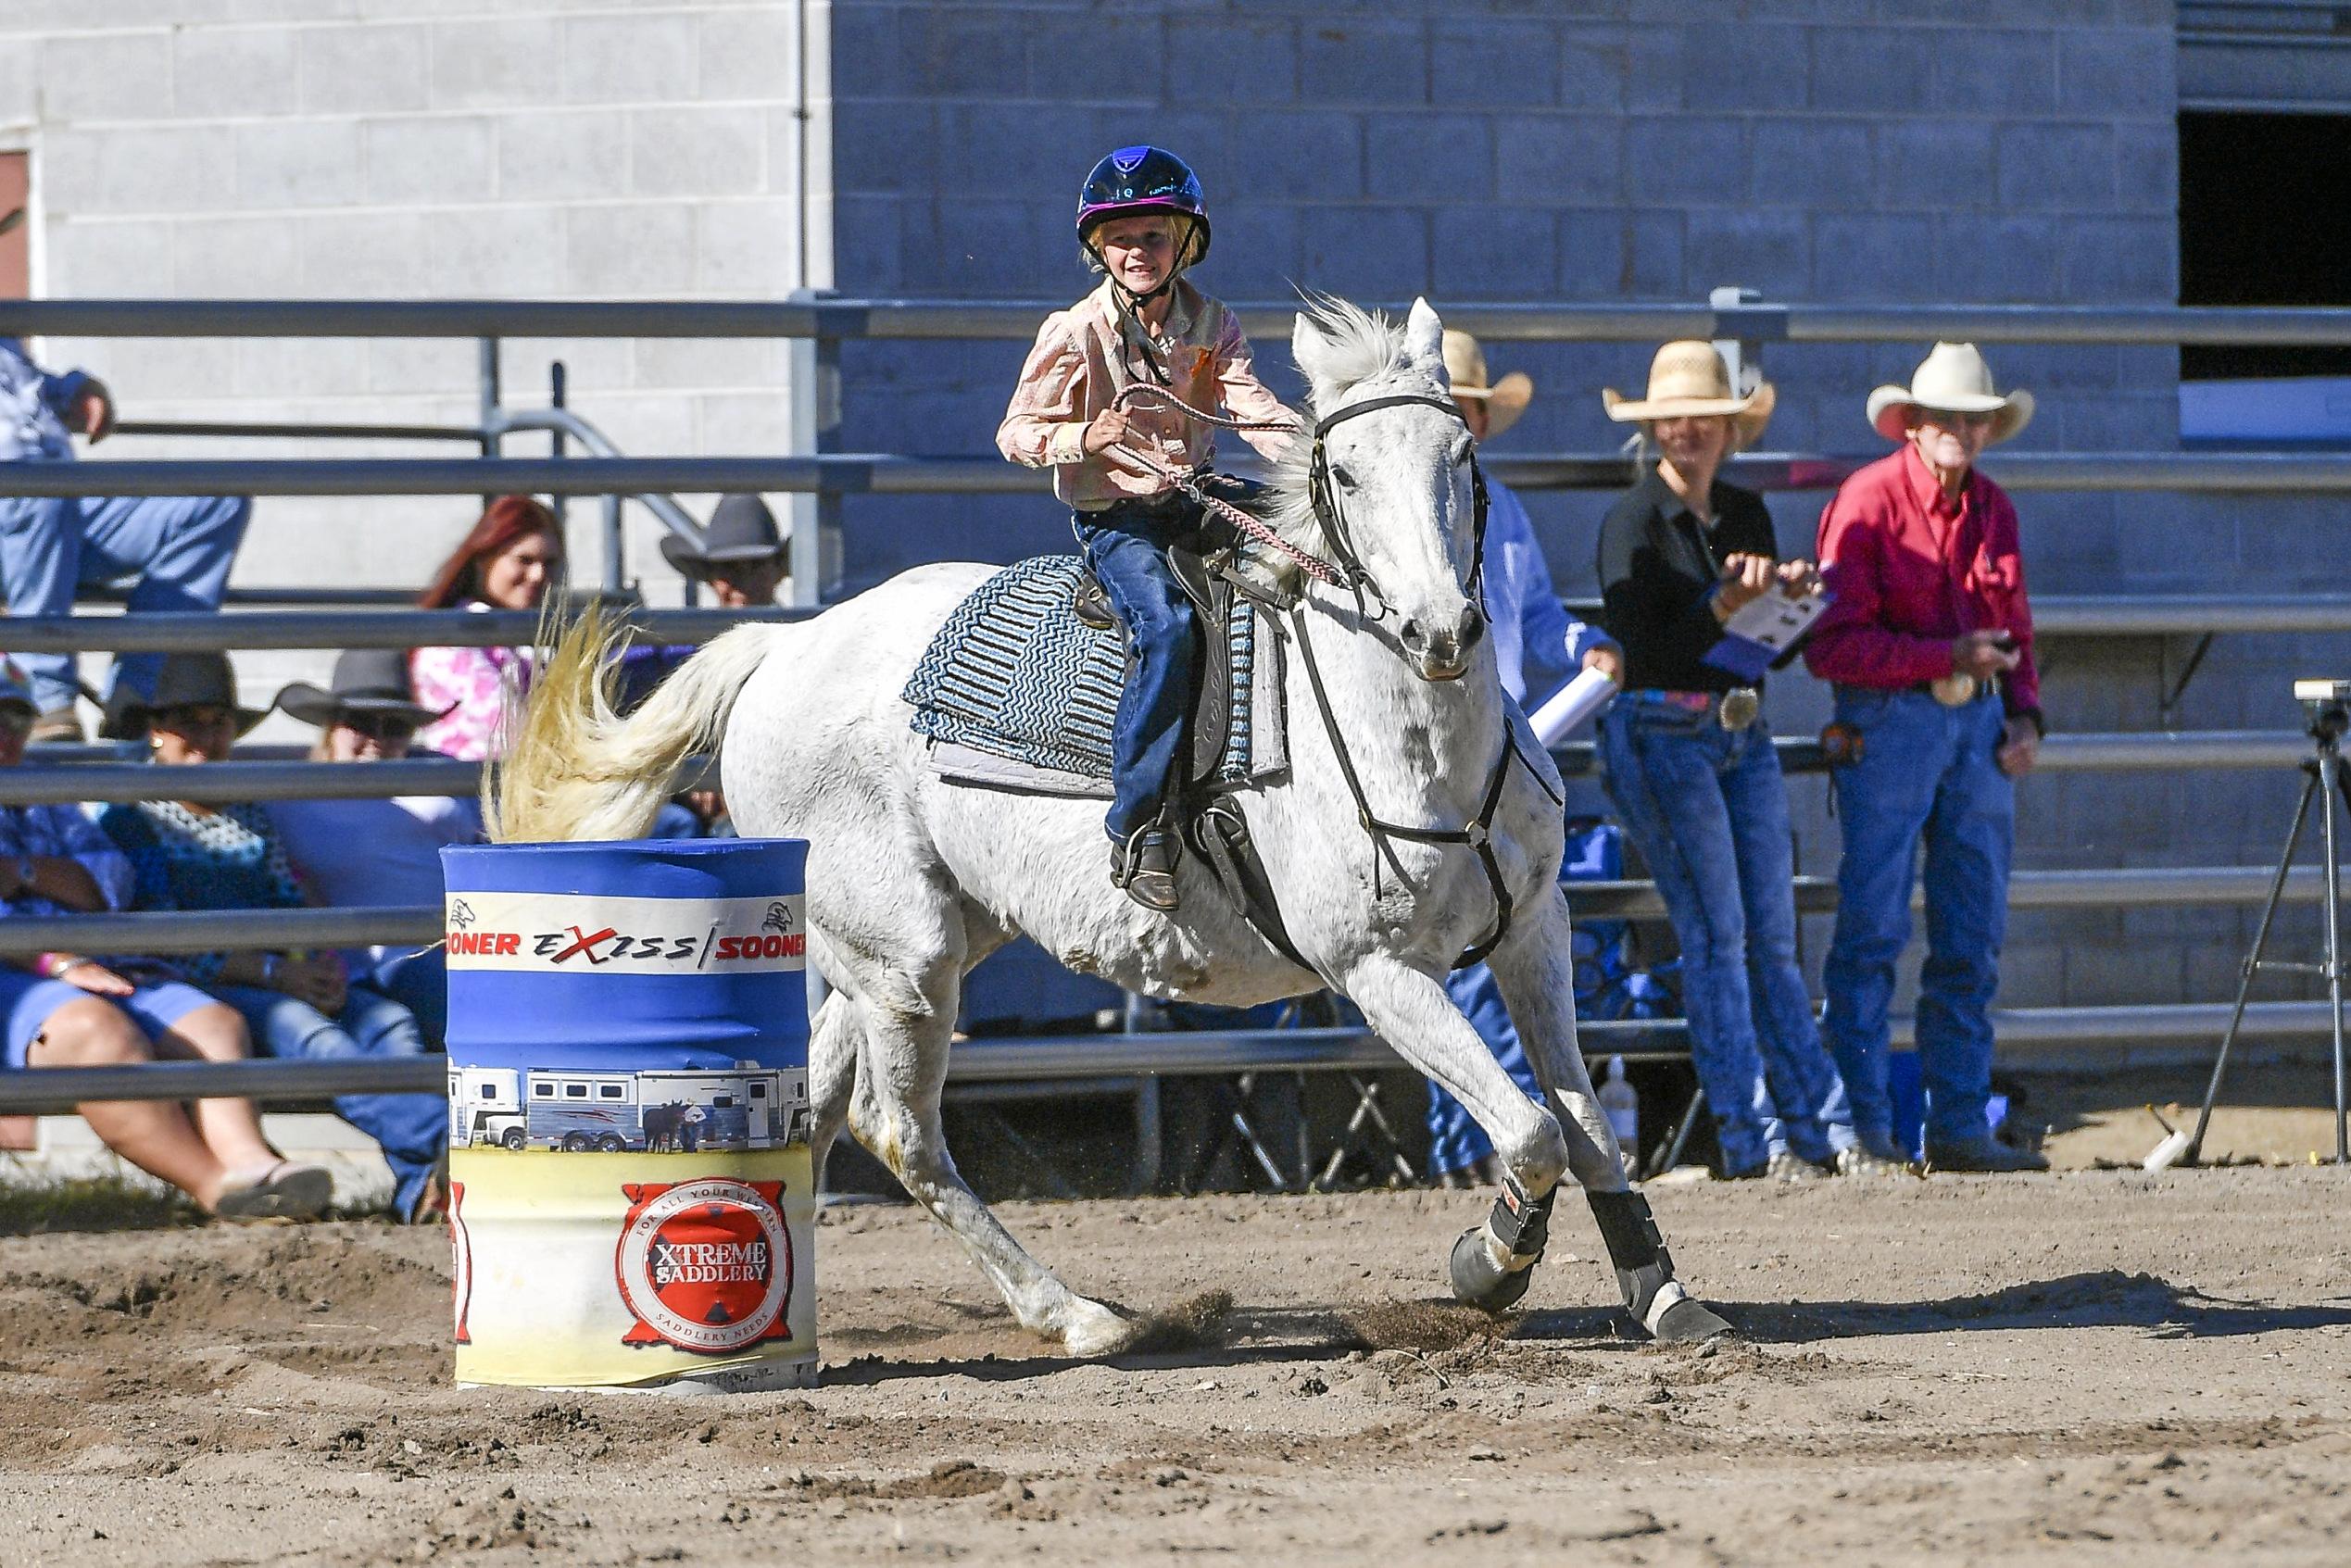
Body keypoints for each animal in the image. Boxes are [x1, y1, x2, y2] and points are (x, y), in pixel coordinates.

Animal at [496, 300, 1740, 1354]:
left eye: (1462, 459)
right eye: (1344, 470)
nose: (1441, 628)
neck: (1416, 738)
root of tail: (784, 646)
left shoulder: (1536, 932)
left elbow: (1586, 1127)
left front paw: (1666, 1293)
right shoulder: (1378, 972)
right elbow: (1531, 1131)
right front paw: (1488, 1265)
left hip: (894, 951)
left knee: (816, 1107)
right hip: (907, 958)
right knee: (904, 1134)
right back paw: (1080, 1317)